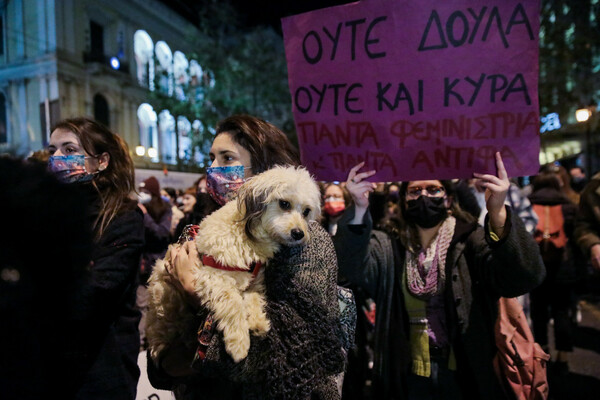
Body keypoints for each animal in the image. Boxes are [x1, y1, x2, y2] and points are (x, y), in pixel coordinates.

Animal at [146, 166, 324, 362]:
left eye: (306, 211)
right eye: (284, 204)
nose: (299, 233)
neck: (249, 236)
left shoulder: (254, 281)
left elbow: (254, 298)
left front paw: (258, 321)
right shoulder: (212, 276)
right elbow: (234, 303)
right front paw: (239, 343)